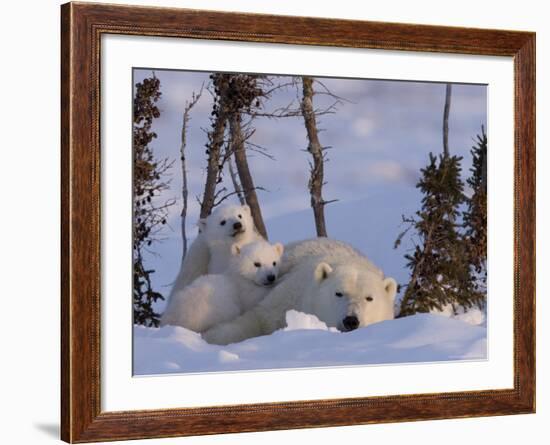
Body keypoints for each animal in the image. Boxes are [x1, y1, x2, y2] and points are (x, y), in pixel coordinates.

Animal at [203, 238, 396, 346]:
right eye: (338, 293)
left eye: (369, 298)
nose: (351, 321)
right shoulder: (289, 294)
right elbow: (256, 319)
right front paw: (212, 337)